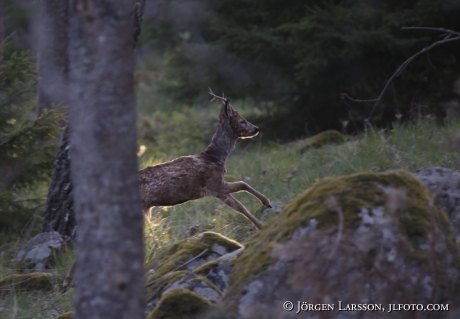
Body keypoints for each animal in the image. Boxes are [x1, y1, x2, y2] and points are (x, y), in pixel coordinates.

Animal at [61, 88, 270, 292]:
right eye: (241, 120)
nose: (257, 129)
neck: (215, 157)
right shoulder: (215, 184)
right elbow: (243, 189)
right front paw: (265, 209)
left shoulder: (218, 190)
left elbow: (240, 201)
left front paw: (262, 218)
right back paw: (68, 282)